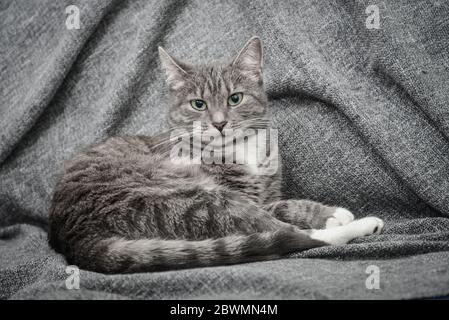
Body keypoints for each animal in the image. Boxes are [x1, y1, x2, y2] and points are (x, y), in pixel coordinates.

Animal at [50, 37, 384, 272]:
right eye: (198, 104)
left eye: (235, 98)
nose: (220, 123)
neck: (239, 148)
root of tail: (78, 236)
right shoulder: (237, 194)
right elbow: (275, 216)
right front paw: (333, 216)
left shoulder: (265, 192)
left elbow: (283, 203)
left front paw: (326, 213)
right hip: (186, 197)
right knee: (284, 234)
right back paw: (362, 225)